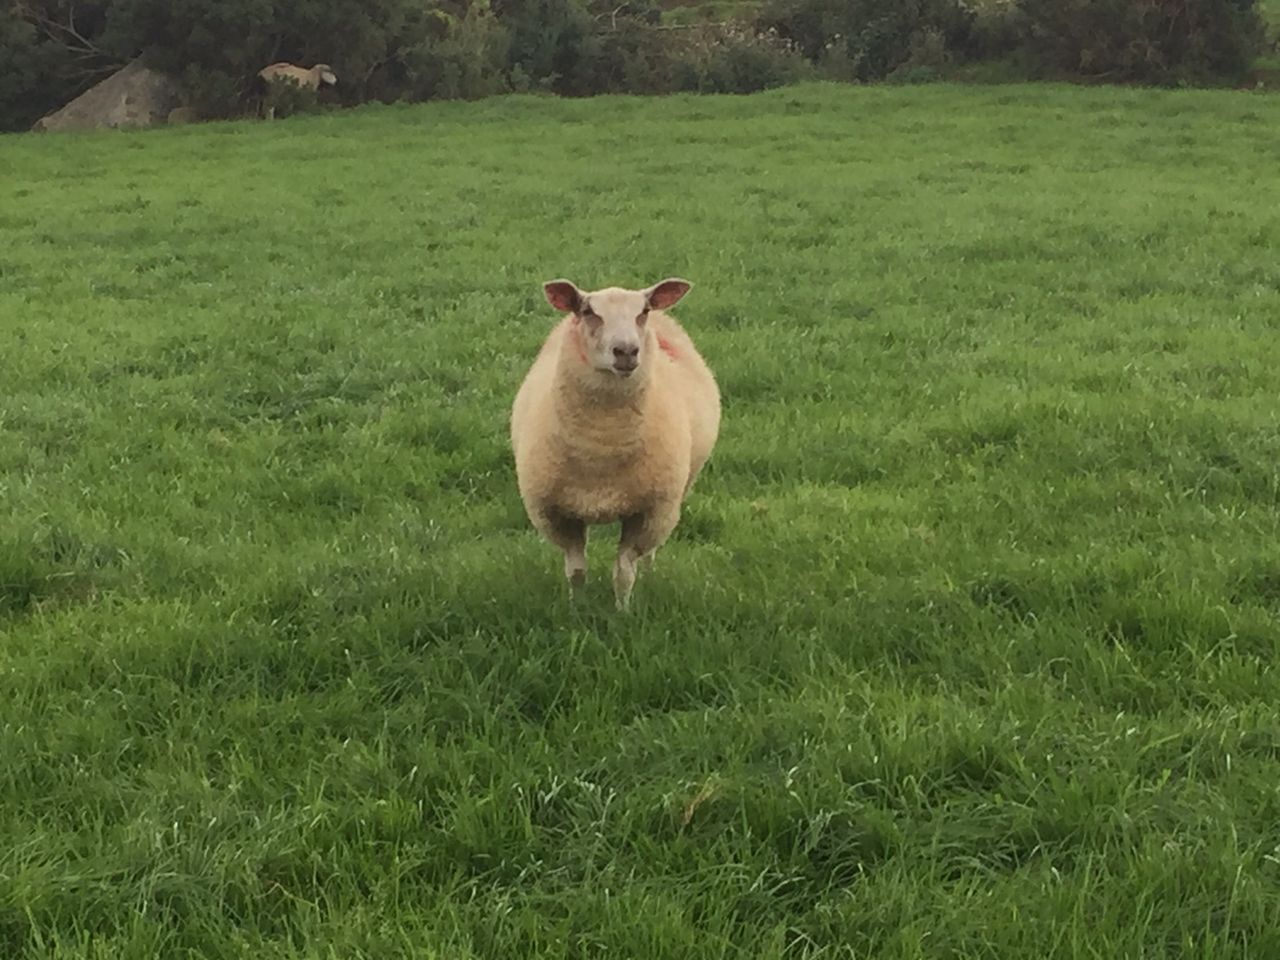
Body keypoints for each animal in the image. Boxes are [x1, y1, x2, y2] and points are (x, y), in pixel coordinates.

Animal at [510, 277, 721, 610]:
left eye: (642, 311)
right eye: (588, 311)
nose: (626, 351)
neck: (602, 445)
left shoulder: (648, 513)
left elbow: (624, 573)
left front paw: (623, 612)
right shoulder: (557, 514)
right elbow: (576, 571)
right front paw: (577, 609)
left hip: (676, 495)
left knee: (649, 554)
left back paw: (650, 578)